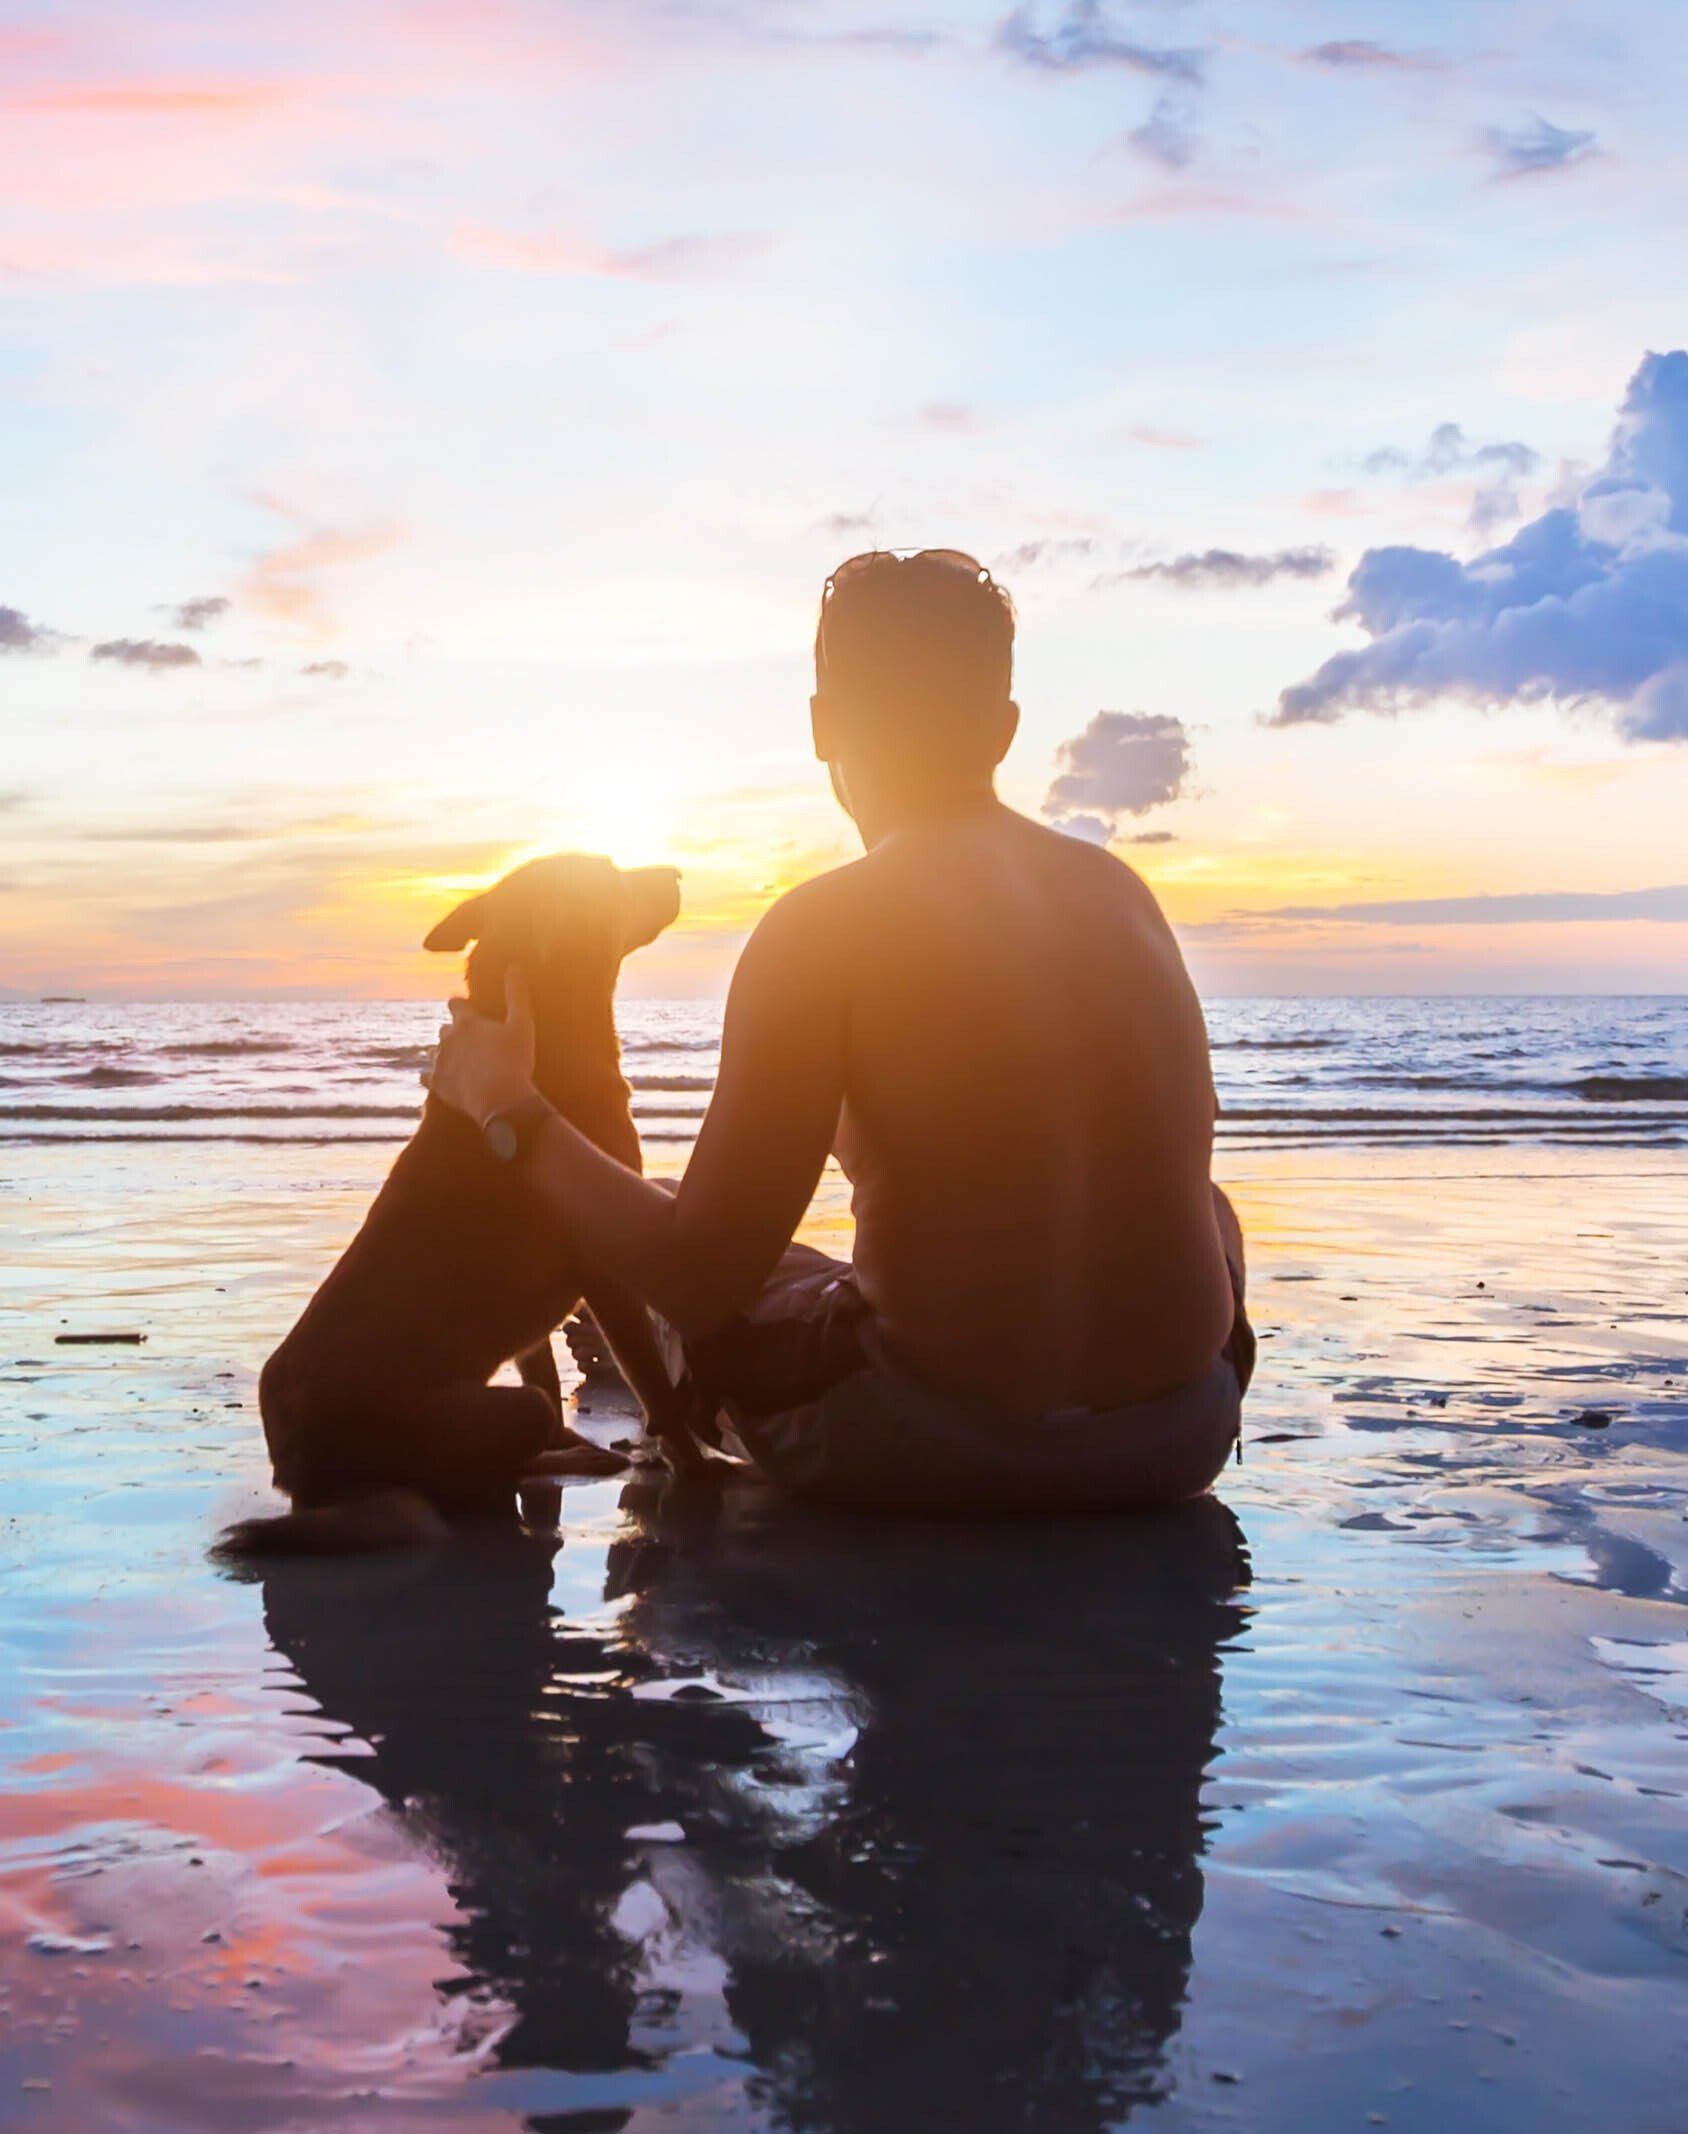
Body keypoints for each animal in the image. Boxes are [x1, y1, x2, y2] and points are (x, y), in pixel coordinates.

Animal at [220, 857, 682, 1562]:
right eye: (609, 873)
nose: (678, 871)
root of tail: (307, 1485)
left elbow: (545, 1369)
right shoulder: (606, 1264)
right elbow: (648, 1377)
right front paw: (690, 1456)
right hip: (478, 1419)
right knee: (500, 1463)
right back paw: (572, 1458)